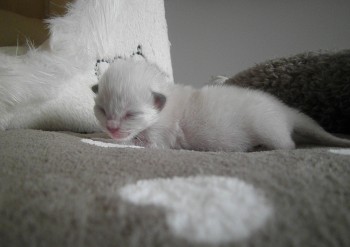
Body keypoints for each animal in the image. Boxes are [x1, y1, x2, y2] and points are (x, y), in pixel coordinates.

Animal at [92, 58, 350, 151]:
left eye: (131, 114)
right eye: (102, 110)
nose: (112, 128)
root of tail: (286, 110)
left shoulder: (160, 136)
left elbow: (137, 141)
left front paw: (106, 140)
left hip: (271, 130)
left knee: (289, 145)